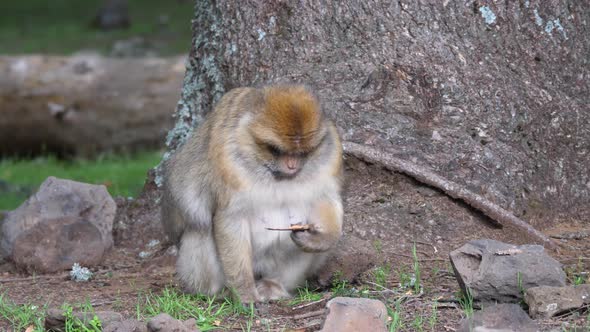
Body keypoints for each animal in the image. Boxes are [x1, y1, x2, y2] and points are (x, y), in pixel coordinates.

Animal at [162, 84, 344, 302]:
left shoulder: (330, 159)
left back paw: (274, 285)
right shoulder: (228, 163)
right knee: (200, 229)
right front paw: (244, 293)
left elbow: (325, 199)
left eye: (303, 152)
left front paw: (321, 239)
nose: (292, 165)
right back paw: (219, 292)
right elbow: (230, 219)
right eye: (275, 150)